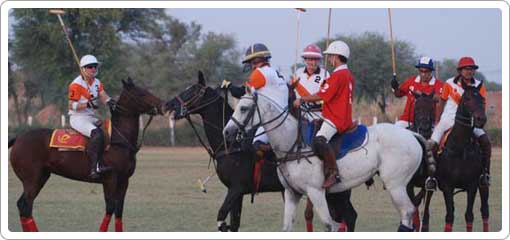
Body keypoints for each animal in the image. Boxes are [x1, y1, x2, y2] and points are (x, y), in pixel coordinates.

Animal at [8, 78, 163, 232]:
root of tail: (19, 138)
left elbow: (119, 210)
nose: (162, 105)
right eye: (141, 93)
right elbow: (110, 208)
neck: (118, 140)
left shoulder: (124, 180)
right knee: (25, 204)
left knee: (25, 206)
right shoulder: (110, 179)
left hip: (41, 177)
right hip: (31, 179)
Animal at [222, 89, 422, 232]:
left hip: (395, 184)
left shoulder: (316, 192)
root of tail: (411, 134)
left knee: (407, 212)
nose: (227, 132)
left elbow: (328, 225)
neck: (293, 144)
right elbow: (287, 228)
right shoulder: (291, 193)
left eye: (243, 108)